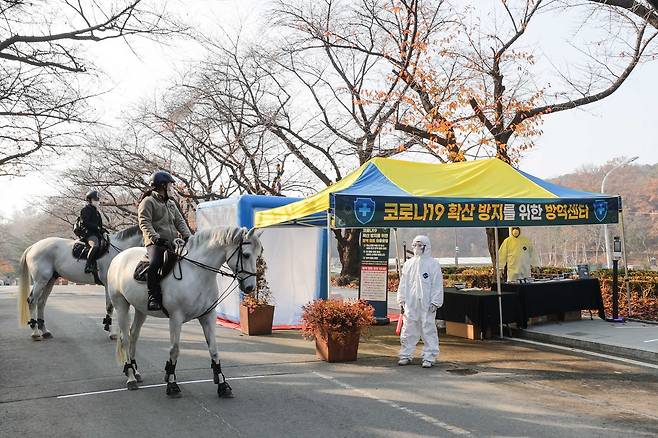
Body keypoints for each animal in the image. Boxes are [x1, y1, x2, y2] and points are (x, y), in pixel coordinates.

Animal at [107, 226, 262, 396]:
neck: (196, 273)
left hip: (141, 310)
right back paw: (130, 377)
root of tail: (119, 257)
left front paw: (222, 385)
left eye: (258, 254)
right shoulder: (176, 318)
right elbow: (174, 350)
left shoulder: (208, 316)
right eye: (246, 254)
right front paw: (172, 384)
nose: (250, 287)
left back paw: (136, 372)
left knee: (133, 335)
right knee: (126, 339)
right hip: (121, 305)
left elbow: (214, 350)